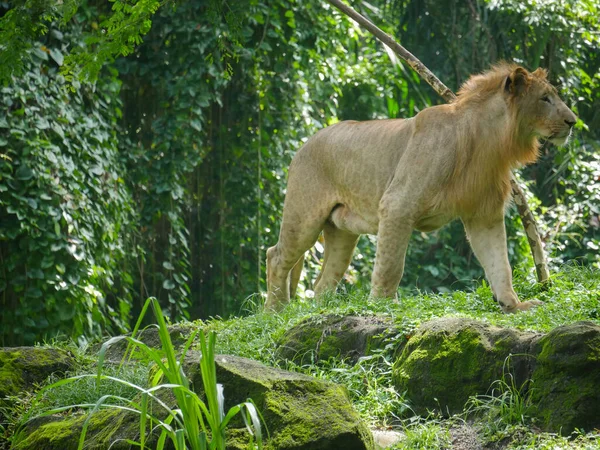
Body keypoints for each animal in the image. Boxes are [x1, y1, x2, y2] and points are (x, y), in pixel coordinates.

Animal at [266, 64, 576, 312]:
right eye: (545, 98)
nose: (572, 122)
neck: (489, 140)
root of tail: (304, 144)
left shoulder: (483, 214)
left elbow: (500, 262)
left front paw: (513, 305)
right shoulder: (397, 204)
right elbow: (391, 264)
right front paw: (382, 305)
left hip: (342, 232)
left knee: (323, 280)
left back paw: (321, 311)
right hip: (304, 218)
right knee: (276, 256)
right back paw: (276, 311)